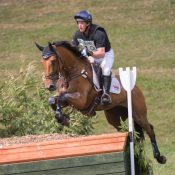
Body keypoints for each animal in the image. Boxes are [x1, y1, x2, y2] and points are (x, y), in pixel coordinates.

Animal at [34, 40, 166, 164]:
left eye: (53, 61)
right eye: (41, 62)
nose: (49, 86)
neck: (71, 73)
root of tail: (134, 86)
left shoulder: (81, 100)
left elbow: (62, 97)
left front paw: (64, 118)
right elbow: (53, 100)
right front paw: (62, 117)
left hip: (138, 114)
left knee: (149, 129)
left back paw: (159, 157)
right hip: (115, 117)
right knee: (130, 133)